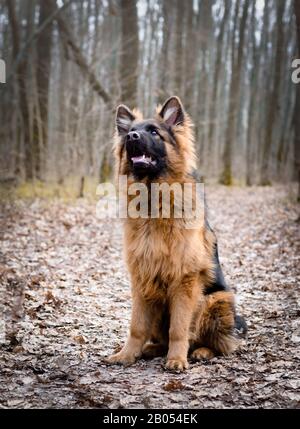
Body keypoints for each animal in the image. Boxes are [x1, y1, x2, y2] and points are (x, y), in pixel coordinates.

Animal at [107, 95, 246, 370]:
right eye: (130, 131)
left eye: (154, 132)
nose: (132, 138)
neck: (154, 201)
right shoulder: (142, 278)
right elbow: (136, 326)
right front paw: (127, 354)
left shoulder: (185, 281)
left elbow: (179, 328)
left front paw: (176, 359)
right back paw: (151, 349)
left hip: (215, 300)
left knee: (220, 345)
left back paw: (200, 351)